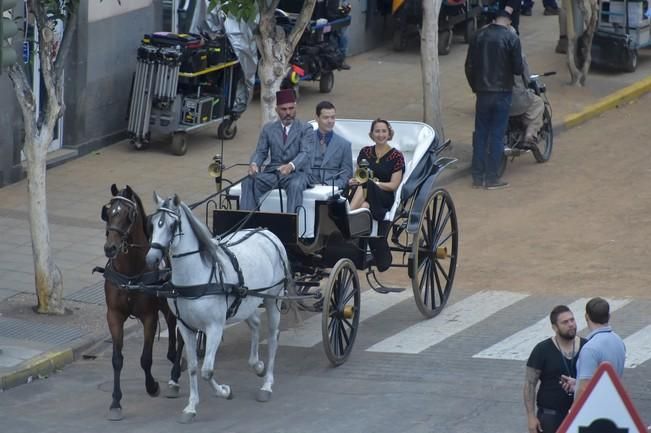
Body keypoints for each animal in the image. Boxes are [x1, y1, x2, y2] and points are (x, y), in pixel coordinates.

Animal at [100, 184, 185, 420]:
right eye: (108, 213)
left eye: (128, 215)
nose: (110, 248)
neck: (131, 272)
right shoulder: (114, 316)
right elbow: (117, 359)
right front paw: (115, 402)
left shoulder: (149, 317)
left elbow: (145, 358)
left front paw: (152, 386)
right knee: (172, 324)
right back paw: (172, 356)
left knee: (182, 334)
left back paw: (175, 373)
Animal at [148, 192, 290, 422]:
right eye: (152, 224)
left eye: (172, 225)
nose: (151, 258)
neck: (195, 276)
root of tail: (268, 232)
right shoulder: (185, 327)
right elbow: (194, 367)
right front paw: (191, 407)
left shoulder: (214, 327)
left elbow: (207, 371)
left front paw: (224, 391)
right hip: (246, 301)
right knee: (255, 324)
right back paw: (256, 365)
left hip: (272, 298)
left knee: (273, 337)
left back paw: (267, 384)